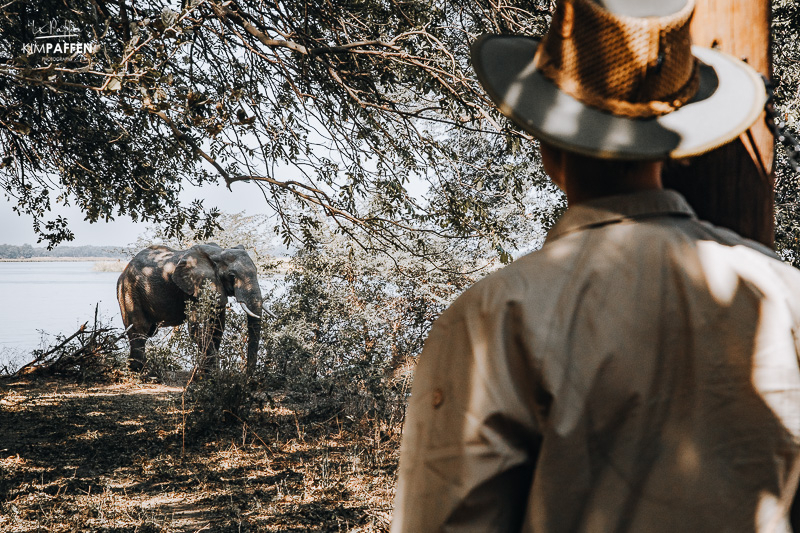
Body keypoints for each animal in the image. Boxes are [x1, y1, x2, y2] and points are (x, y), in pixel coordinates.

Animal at [117, 242, 264, 372]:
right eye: (232, 276)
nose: (248, 377)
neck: (219, 253)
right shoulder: (194, 288)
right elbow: (197, 329)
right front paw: (214, 375)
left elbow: (217, 328)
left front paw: (206, 374)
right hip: (129, 291)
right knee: (139, 330)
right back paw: (139, 372)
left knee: (146, 332)